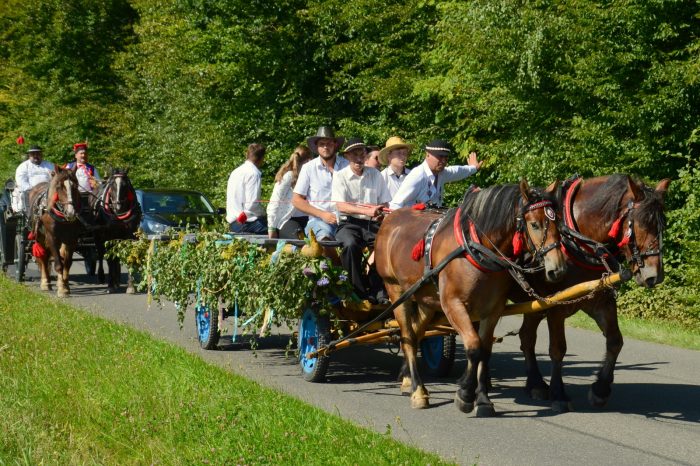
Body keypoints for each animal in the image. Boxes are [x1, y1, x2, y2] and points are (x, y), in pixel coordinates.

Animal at [27, 166, 83, 296]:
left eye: (75, 185)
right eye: (59, 186)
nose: (71, 212)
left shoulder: (71, 239)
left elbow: (67, 263)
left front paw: (64, 285)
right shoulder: (52, 238)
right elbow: (58, 264)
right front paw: (61, 289)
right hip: (40, 236)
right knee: (43, 257)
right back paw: (45, 283)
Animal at [374, 180, 568, 416]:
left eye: (557, 221)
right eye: (535, 225)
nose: (558, 269)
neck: (477, 249)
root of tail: (390, 219)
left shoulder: (492, 310)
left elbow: (484, 351)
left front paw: (483, 399)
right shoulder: (453, 305)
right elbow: (474, 347)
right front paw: (465, 394)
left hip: (425, 299)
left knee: (415, 333)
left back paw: (407, 379)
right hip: (396, 291)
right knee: (408, 337)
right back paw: (418, 390)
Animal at [512, 174, 668, 412]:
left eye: (662, 225)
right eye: (641, 223)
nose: (654, 276)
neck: (578, 241)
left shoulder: (600, 300)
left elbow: (615, 341)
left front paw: (600, 390)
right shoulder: (556, 306)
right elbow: (558, 349)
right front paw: (559, 393)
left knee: (526, 337)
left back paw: (535, 384)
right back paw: (538, 384)